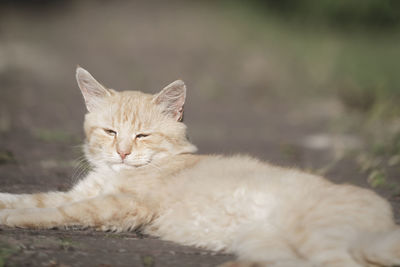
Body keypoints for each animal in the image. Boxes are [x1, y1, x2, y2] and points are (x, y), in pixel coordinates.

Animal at [0, 67, 400, 267]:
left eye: (142, 135)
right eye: (111, 132)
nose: (123, 153)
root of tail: (386, 219)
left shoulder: (124, 206)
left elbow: (60, 210)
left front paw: (14, 219)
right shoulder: (80, 192)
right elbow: (33, 198)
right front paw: (8, 204)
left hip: (319, 238)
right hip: (267, 245)